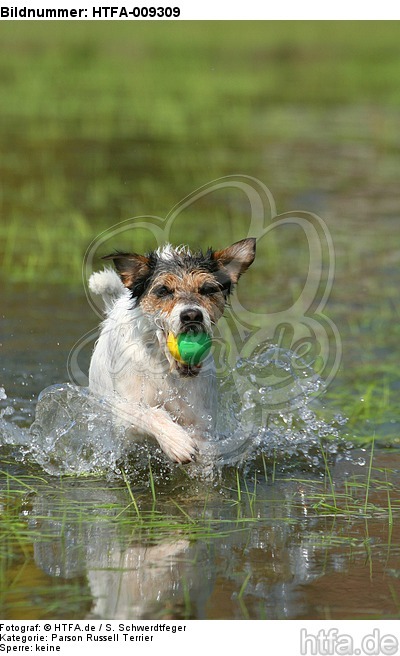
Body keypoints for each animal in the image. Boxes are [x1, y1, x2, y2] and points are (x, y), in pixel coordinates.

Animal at [88, 238, 256, 464]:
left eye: (207, 289)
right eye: (163, 290)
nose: (192, 315)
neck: (164, 367)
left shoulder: (201, 422)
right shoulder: (123, 416)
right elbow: (149, 414)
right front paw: (177, 441)